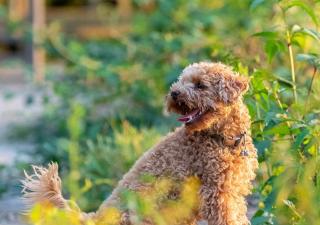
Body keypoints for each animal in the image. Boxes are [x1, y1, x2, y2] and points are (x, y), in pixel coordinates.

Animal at [22, 61, 258, 225]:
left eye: (201, 85)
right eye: (181, 81)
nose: (174, 93)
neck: (223, 139)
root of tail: (94, 218)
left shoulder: (232, 192)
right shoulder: (215, 194)